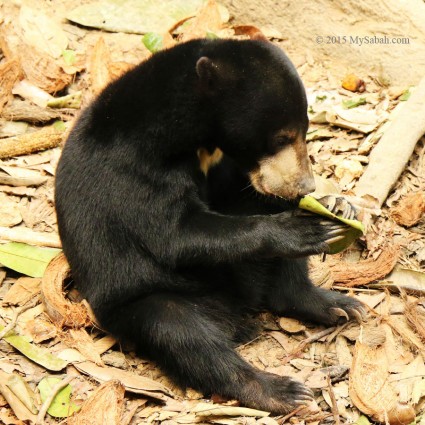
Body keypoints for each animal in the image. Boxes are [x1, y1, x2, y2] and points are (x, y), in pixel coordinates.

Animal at [53, 38, 364, 412]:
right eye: (281, 137)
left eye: (305, 131)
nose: (305, 185)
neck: (194, 138)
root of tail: (236, 310)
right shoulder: (132, 171)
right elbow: (177, 234)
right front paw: (301, 230)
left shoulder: (224, 166)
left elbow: (242, 195)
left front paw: (336, 205)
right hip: (144, 298)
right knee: (182, 334)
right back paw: (280, 390)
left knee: (284, 283)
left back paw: (337, 305)